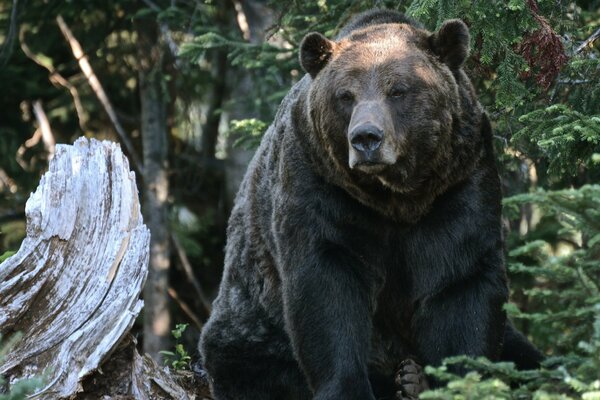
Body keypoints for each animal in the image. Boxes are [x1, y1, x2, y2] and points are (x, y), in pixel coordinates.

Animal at [199, 9, 540, 400]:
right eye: (345, 95)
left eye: (398, 90)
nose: (365, 138)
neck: (397, 197)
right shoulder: (323, 189)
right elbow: (326, 287)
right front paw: (348, 386)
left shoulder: (458, 186)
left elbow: (462, 284)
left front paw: (457, 381)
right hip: (252, 326)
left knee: (527, 355)